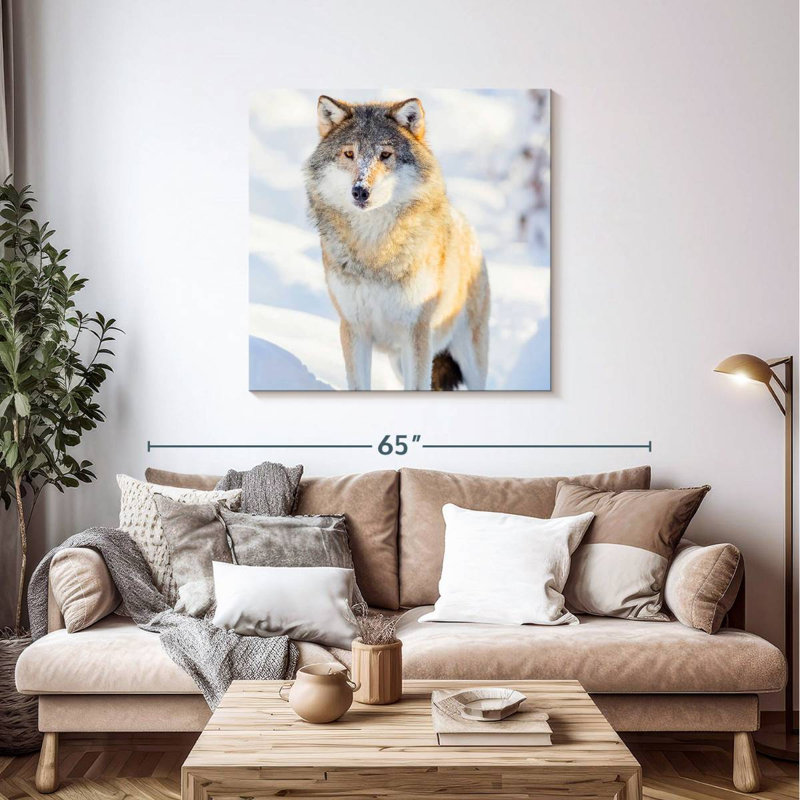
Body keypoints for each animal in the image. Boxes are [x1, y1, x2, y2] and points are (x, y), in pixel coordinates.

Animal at [304, 95, 490, 391]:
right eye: (349, 154)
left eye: (385, 155)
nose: (360, 190)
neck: (374, 249)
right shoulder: (354, 329)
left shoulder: (416, 332)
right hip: (398, 362)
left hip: (468, 359)